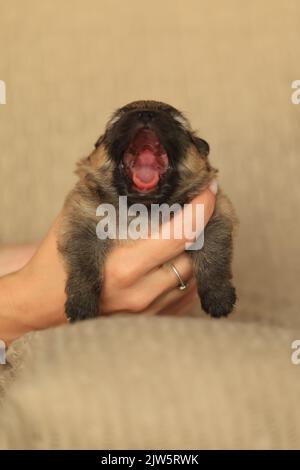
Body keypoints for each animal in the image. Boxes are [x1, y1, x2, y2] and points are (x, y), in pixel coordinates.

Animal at [58, 100, 237, 322]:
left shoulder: (215, 214)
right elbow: (84, 262)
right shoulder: (81, 221)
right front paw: (81, 302)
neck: (144, 209)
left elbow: (213, 255)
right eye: (118, 119)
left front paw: (218, 296)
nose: (145, 113)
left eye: (177, 122)